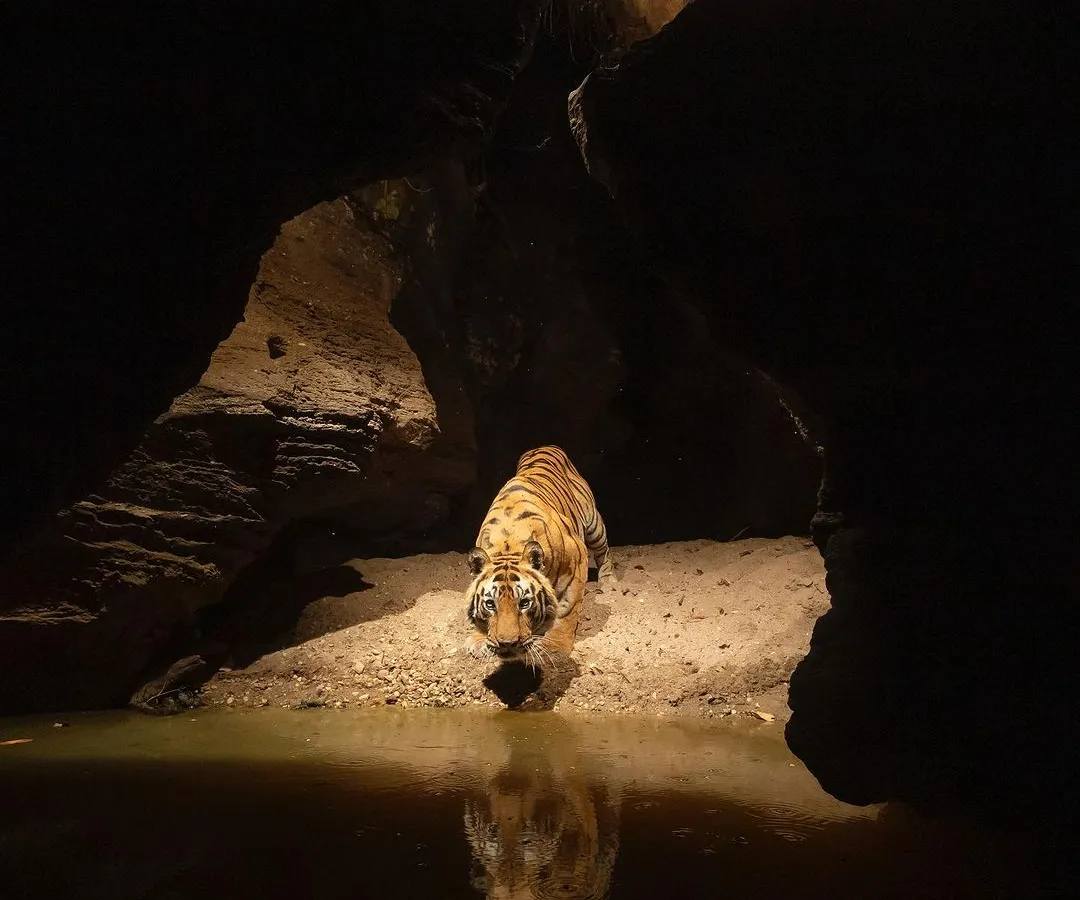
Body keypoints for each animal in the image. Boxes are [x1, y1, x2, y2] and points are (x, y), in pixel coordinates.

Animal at [465, 445, 616, 666]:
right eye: (491, 604)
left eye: (524, 603)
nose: (507, 644)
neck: (507, 545)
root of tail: (545, 446)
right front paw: (478, 639)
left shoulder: (576, 562)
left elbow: (566, 610)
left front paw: (555, 647)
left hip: (594, 525)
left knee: (604, 552)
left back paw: (609, 582)